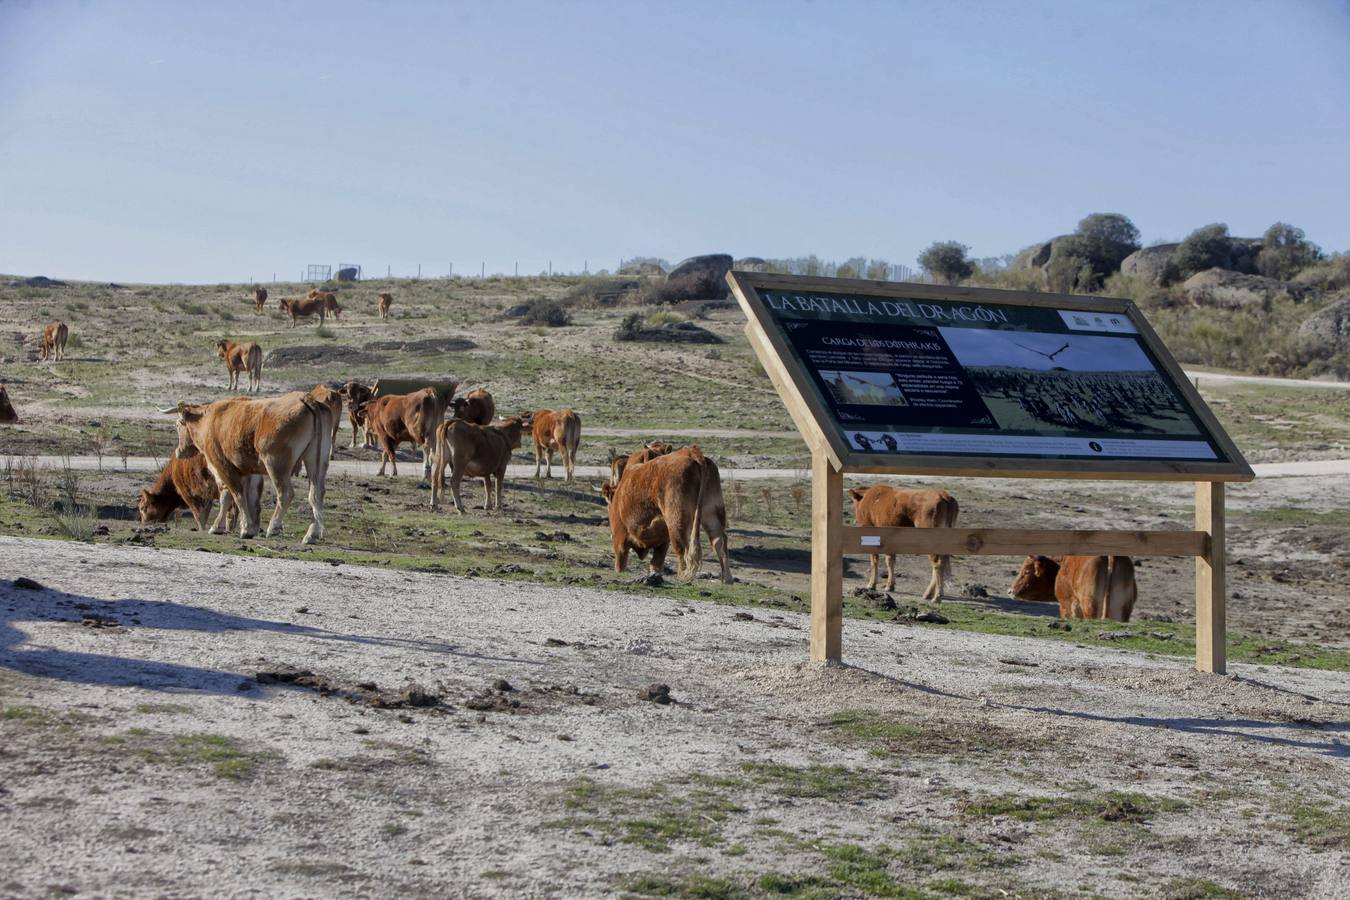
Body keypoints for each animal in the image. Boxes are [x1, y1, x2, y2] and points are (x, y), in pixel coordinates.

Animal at [163, 387, 335, 543]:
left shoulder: (222, 466)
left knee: (285, 493)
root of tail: (306, 398)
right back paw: (312, 533)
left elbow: (237, 495)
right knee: (316, 494)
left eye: (178, 425)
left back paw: (274, 527)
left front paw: (245, 528)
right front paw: (224, 526)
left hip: (275, 463)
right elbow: (237, 496)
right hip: (316, 461)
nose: (178, 452)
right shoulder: (245, 471)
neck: (207, 420)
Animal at [598, 445, 732, 583]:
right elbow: (656, 563)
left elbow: (620, 562)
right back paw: (727, 579)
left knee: (684, 549)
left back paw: (682, 576)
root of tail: (692, 452)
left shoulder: (619, 535)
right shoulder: (663, 540)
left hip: (676, 520)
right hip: (712, 512)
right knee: (719, 541)